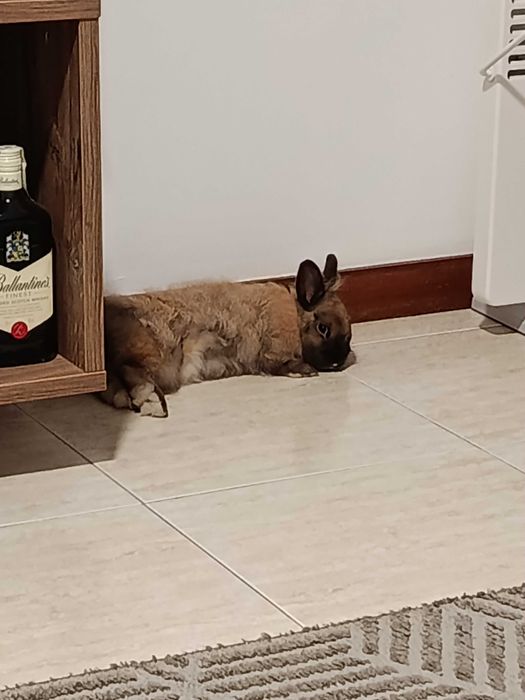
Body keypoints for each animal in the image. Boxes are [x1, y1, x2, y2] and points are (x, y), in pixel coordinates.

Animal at [101, 254, 353, 417]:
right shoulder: (272, 350)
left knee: (116, 390)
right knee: (133, 374)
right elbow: (281, 365)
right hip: (155, 353)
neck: (294, 315)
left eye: (348, 335)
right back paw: (154, 402)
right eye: (323, 328)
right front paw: (305, 371)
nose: (338, 361)